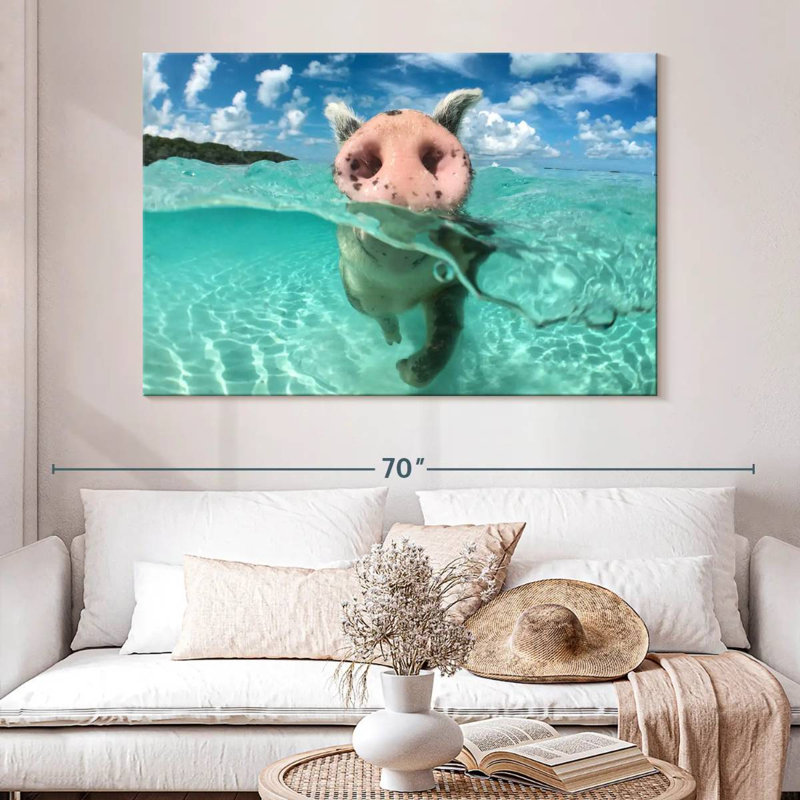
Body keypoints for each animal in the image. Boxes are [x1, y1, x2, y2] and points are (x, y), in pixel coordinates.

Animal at [324, 89, 493, 388]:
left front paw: (402, 368)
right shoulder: (353, 285)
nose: (400, 123)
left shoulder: (453, 279)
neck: (401, 289)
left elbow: (446, 331)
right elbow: (379, 314)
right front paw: (395, 344)